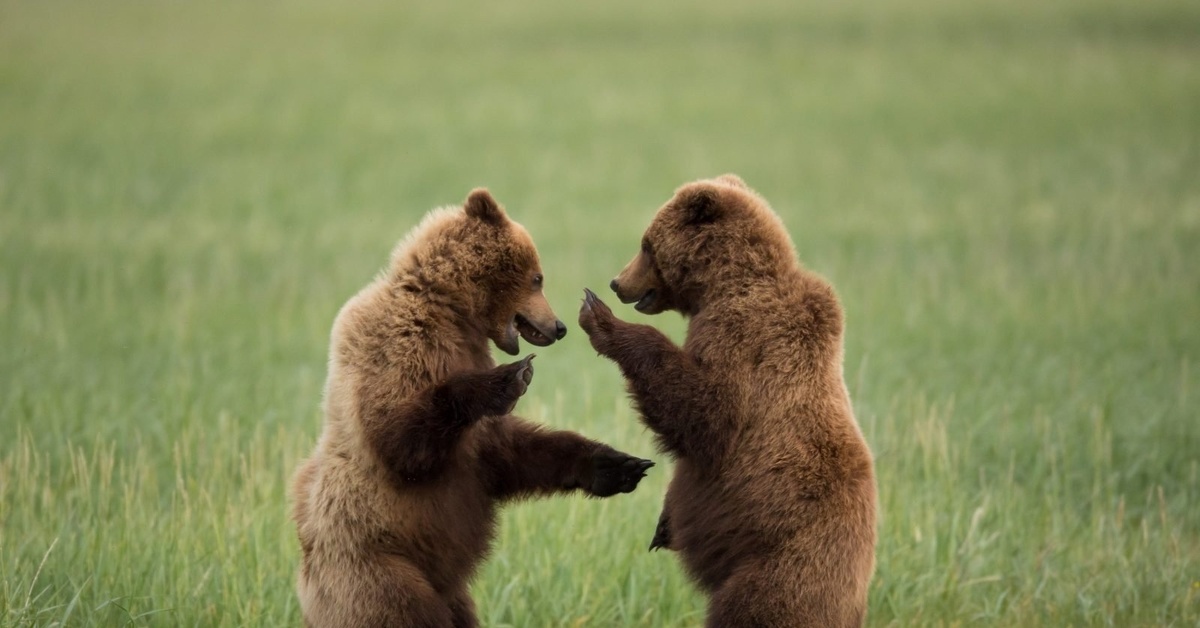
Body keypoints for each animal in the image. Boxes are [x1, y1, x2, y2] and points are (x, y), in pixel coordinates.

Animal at [294, 188, 657, 628]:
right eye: (537, 277)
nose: (559, 327)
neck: (451, 312)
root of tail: (306, 581)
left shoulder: (475, 406)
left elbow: (505, 451)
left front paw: (617, 465)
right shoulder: (395, 345)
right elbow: (398, 438)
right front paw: (510, 377)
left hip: (451, 594)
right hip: (377, 567)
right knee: (402, 611)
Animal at [576, 175, 878, 628]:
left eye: (646, 244)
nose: (616, 282)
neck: (723, 284)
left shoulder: (743, 334)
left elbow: (705, 413)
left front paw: (600, 317)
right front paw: (664, 526)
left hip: (781, 572)